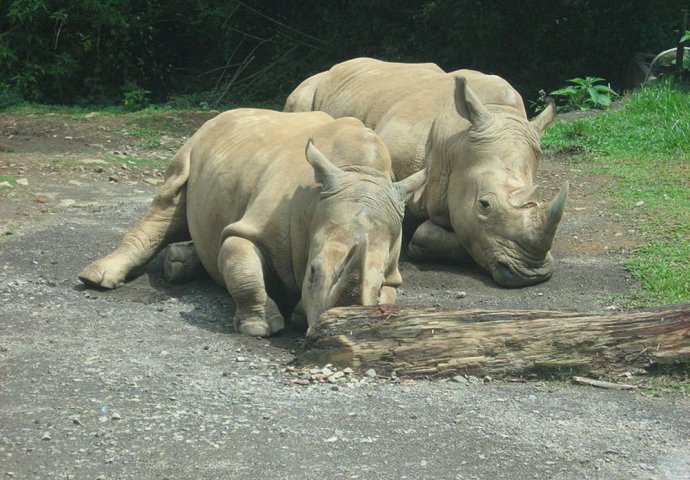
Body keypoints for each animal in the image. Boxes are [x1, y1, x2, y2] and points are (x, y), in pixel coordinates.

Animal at [79, 109, 424, 336]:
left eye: (377, 284)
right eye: (312, 271)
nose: (331, 332)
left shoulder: (391, 270)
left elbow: (387, 296)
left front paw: (303, 314)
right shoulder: (252, 229)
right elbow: (242, 266)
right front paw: (259, 327)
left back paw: (178, 264)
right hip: (193, 144)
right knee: (169, 201)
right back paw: (96, 278)